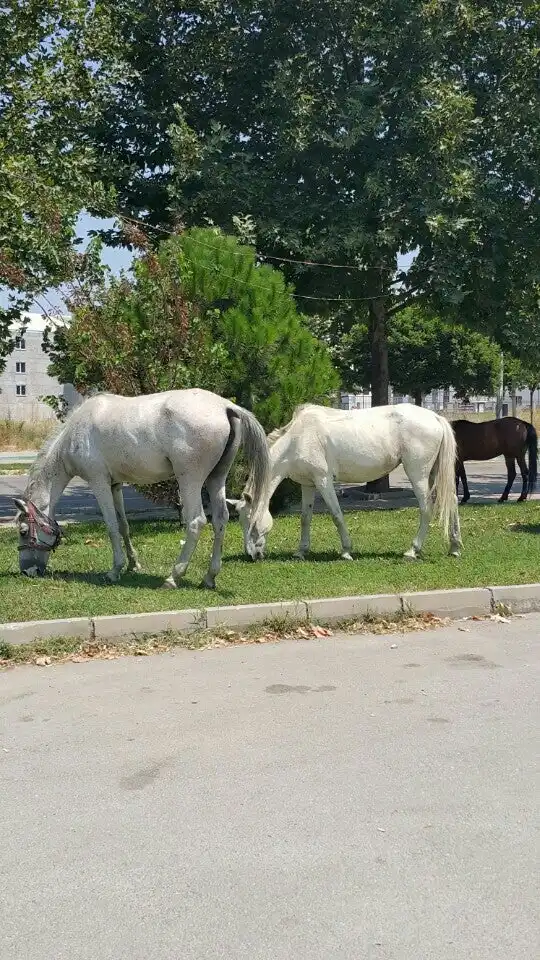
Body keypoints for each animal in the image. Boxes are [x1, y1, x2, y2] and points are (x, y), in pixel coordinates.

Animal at [14, 388, 270, 584]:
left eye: (23, 531)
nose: (27, 571)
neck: (76, 432)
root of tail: (226, 406)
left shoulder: (99, 483)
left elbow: (111, 526)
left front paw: (115, 570)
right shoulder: (115, 485)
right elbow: (123, 525)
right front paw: (132, 564)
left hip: (190, 480)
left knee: (197, 521)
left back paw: (174, 576)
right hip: (216, 478)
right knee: (220, 519)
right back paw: (209, 577)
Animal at [230, 400, 462, 564]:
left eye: (251, 522)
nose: (251, 555)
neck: (298, 438)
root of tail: (435, 416)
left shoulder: (323, 481)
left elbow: (336, 515)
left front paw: (346, 551)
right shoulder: (308, 484)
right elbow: (305, 518)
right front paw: (301, 552)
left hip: (418, 475)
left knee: (426, 508)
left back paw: (413, 550)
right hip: (434, 474)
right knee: (452, 500)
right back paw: (455, 547)